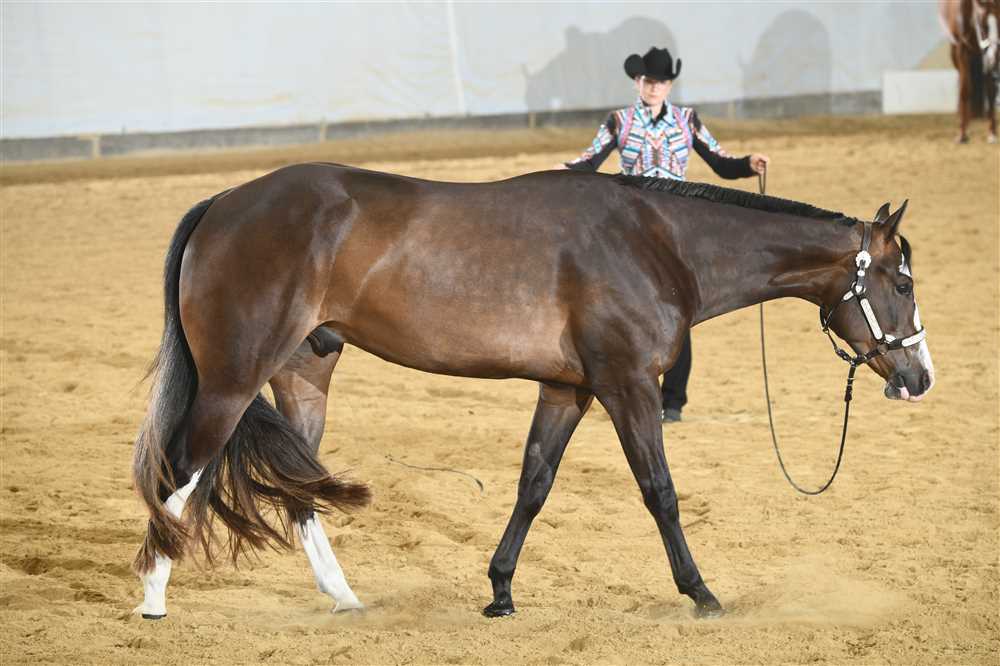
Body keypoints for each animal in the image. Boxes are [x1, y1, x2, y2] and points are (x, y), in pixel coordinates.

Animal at [131, 163, 935, 621]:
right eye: (901, 284)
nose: (919, 377)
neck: (657, 241)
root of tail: (223, 203)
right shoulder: (627, 386)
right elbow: (660, 491)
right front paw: (701, 593)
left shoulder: (566, 390)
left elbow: (533, 485)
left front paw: (500, 590)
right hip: (232, 381)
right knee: (179, 475)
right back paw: (152, 600)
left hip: (303, 376)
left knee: (299, 488)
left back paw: (344, 598)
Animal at [941, 0, 1000, 142]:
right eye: (984, 25)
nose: (995, 56)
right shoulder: (962, 49)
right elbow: (964, 90)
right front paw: (962, 134)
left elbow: (991, 90)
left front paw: (992, 133)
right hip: (955, 51)